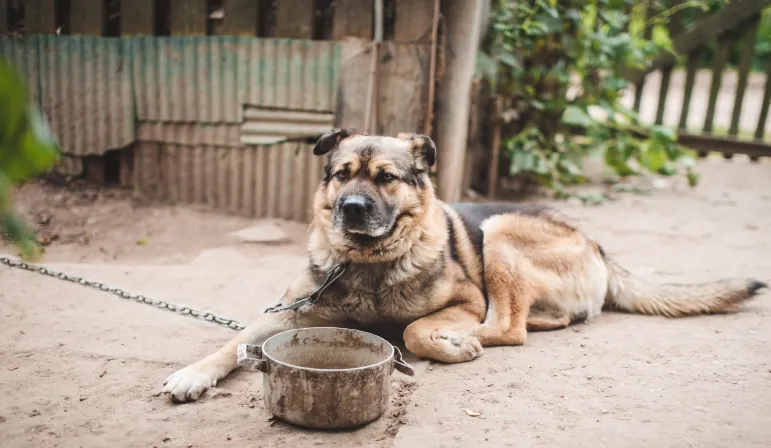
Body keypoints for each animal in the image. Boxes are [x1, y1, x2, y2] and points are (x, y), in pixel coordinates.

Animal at [161, 129, 764, 402]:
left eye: (386, 178)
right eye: (342, 174)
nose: (351, 208)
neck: (368, 265)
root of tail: (594, 243)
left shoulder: (465, 299)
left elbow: (414, 327)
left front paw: (441, 340)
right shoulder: (286, 313)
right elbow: (232, 341)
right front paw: (194, 372)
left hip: (498, 232)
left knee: (509, 326)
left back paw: (467, 338)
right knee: (542, 318)